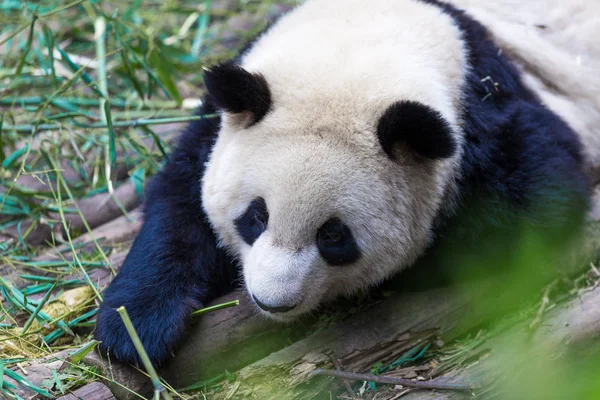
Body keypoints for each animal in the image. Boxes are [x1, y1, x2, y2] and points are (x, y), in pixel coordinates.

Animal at [95, 0, 592, 366]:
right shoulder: (222, 115)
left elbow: (541, 199)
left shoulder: (489, 111)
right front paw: (134, 328)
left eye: (333, 235)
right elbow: (179, 201)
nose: (272, 301)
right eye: (255, 217)